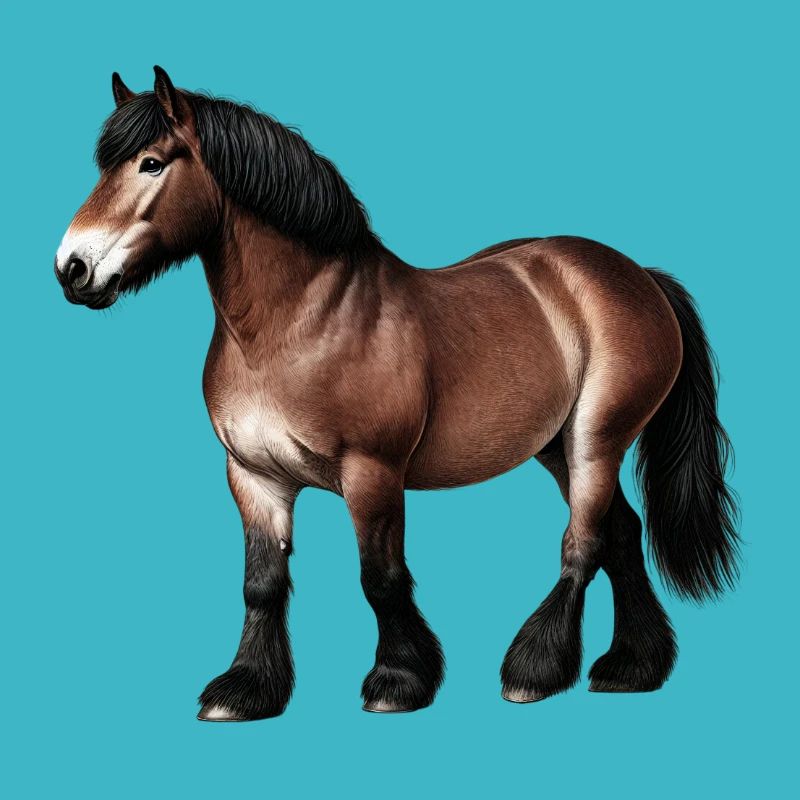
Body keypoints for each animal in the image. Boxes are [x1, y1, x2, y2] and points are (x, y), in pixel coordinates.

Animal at [55, 66, 740, 721]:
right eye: (105, 165)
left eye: (151, 162)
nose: (72, 268)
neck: (300, 322)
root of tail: (636, 275)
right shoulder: (253, 475)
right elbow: (262, 584)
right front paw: (246, 691)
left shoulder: (373, 473)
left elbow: (380, 579)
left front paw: (399, 681)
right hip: (556, 448)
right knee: (622, 532)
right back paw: (631, 668)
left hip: (597, 439)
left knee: (586, 542)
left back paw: (535, 671)